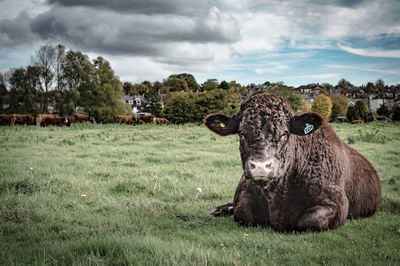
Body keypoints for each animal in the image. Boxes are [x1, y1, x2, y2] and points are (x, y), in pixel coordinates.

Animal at [206, 94, 382, 232]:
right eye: (242, 133)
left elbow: (310, 221)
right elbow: (243, 212)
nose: (261, 167)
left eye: (284, 133)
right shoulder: (244, 193)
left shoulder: (336, 204)